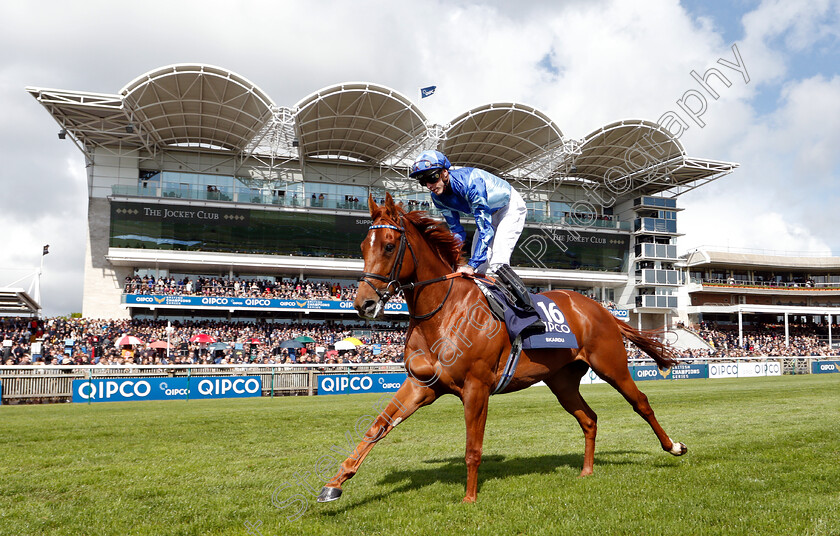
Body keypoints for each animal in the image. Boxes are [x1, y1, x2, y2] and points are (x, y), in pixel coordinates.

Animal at [318, 195, 684, 504]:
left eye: (390, 246)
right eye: (363, 246)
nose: (363, 304)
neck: (443, 312)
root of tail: (601, 309)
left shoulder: (476, 387)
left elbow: (473, 447)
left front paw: (469, 498)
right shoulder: (421, 384)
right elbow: (377, 427)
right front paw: (334, 484)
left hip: (611, 364)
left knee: (641, 403)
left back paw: (674, 446)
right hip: (562, 381)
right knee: (589, 418)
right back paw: (586, 470)